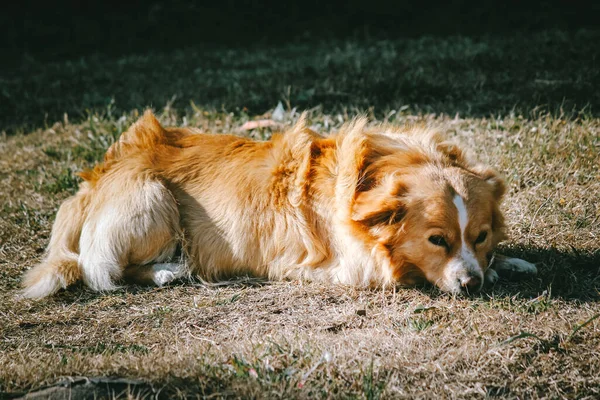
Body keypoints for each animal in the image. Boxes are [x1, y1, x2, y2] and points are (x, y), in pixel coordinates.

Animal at [19, 111, 540, 298]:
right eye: (437, 240)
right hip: (152, 197)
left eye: (480, 236)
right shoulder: (343, 265)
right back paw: (168, 269)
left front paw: (509, 263)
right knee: (102, 268)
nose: (472, 284)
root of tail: (94, 179)